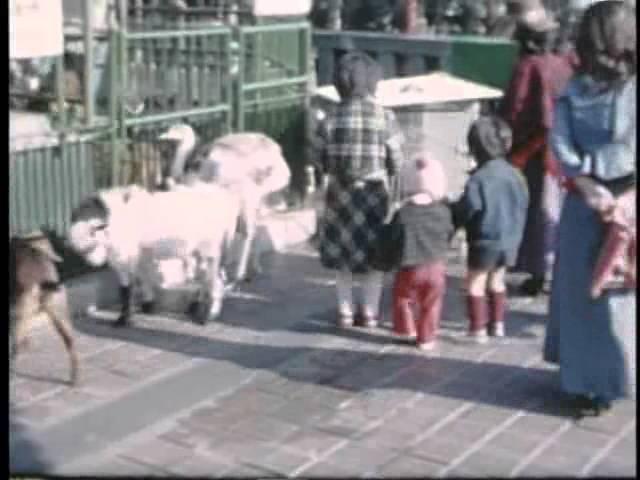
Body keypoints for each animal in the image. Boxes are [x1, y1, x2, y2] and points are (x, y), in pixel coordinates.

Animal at [67, 183, 239, 326]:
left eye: (94, 235)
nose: (91, 261)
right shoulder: (143, 253)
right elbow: (143, 277)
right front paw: (148, 305)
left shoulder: (125, 256)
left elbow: (127, 286)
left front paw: (124, 319)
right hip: (201, 252)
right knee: (210, 277)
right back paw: (195, 307)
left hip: (208, 250)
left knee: (214, 279)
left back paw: (208, 316)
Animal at [159, 124, 292, 282]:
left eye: (175, 130)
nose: (162, 136)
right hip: (259, 198)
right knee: (255, 227)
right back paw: (255, 266)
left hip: (250, 196)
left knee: (248, 231)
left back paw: (239, 272)